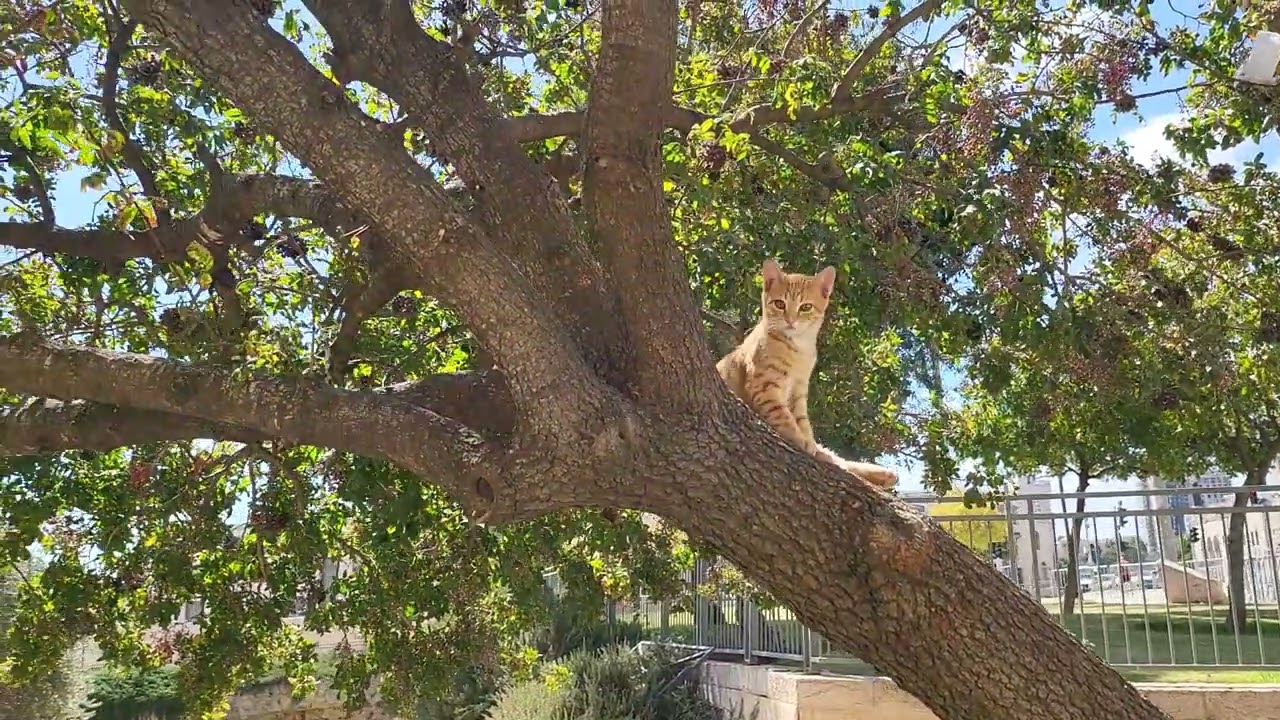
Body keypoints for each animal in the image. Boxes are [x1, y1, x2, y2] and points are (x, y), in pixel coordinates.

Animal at [721, 257, 901, 486]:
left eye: (805, 307)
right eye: (780, 304)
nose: (790, 320)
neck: (798, 349)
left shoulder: (798, 391)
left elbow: (803, 422)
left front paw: (807, 441)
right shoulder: (764, 387)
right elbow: (784, 417)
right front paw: (800, 440)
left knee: (838, 459)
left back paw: (882, 474)